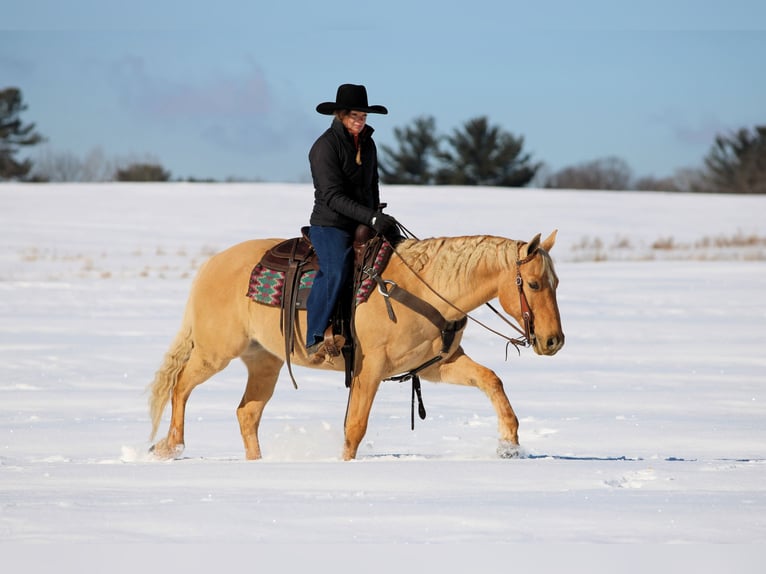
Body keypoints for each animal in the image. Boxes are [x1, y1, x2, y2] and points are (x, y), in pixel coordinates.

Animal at [148, 230, 564, 461]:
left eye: (555, 282)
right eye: (533, 284)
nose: (553, 340)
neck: (422, 289)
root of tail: (210, 266)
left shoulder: (435, 365)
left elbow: (491, 380)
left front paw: (509, 443)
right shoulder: (371, 368)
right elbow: (355, 426)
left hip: (264, 361)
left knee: (247, 413)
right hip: (216, 351)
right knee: (180, 384)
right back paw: (171, 447)